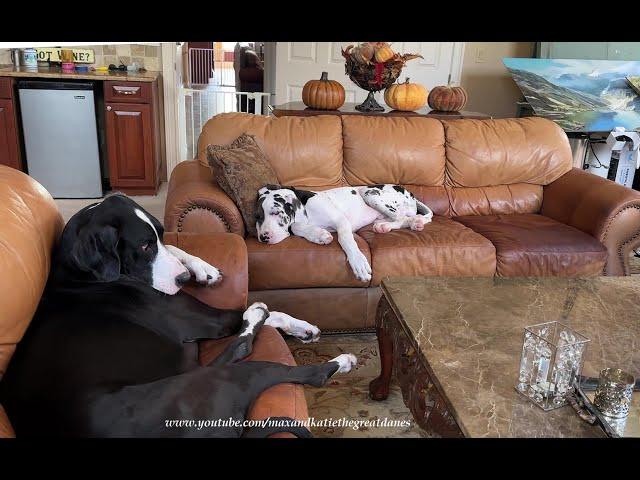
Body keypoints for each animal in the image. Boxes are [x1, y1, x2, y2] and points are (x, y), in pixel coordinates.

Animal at [0, 193, 358, 436]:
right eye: (143, 246)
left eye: (158, 234)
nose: (184, 280)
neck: (79, 276)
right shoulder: (210, 319)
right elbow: (262, 312)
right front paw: (291, 322)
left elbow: (175, 248)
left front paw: (201, 267)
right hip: (212, 379)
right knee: (254, 350)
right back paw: (336, 360)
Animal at [256, 183, 436, 282]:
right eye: (258, 217)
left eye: (275, 212)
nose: (263, 238)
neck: (306, 210)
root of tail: (411, 194)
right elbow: (295, 227)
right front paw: (319, 235)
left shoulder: (341, 221)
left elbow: (346, 240)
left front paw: (358, 262)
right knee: (405, 219)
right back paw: (392, 224)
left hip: (369, 193)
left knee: (401, 217)